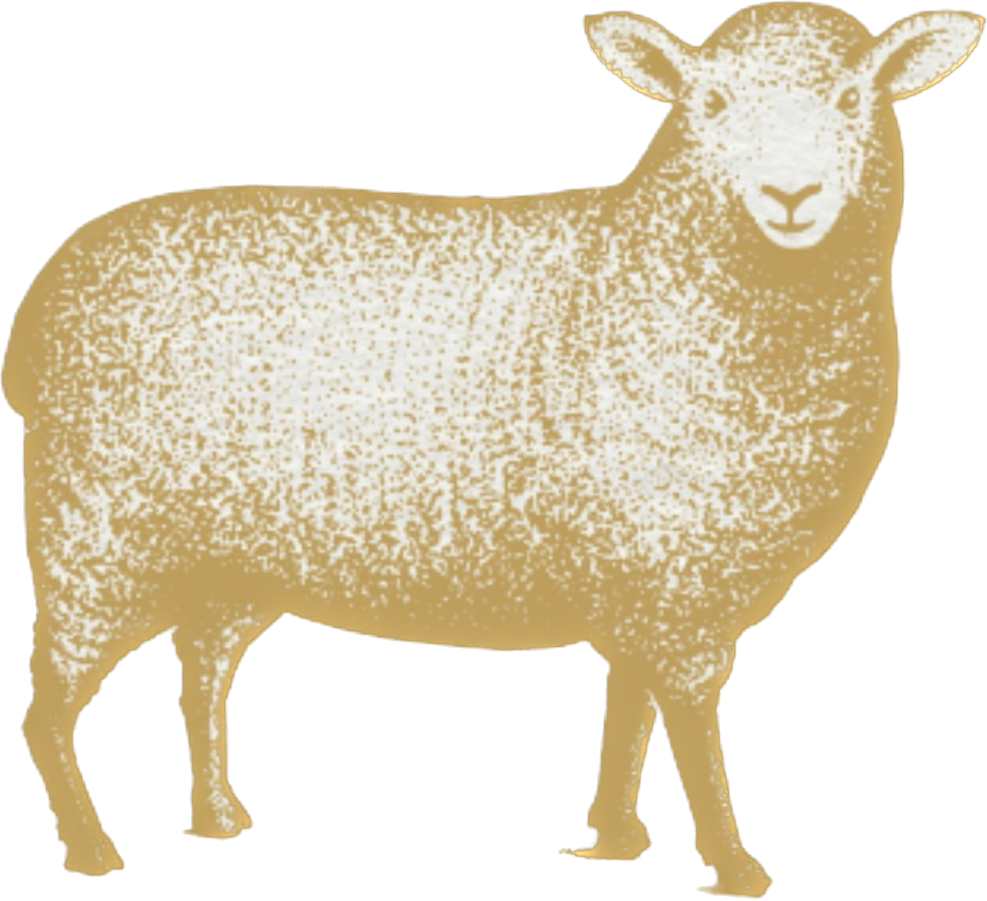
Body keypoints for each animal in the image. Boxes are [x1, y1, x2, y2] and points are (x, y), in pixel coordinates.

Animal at [3, 2, 982, 894]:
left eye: (855, 96)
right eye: (707, 101)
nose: (789, 197)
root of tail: (38, 310)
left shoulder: (641, 580)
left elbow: (627, 704)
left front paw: (612, 836)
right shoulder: (677, 580)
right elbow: (688, 717)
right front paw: (735, 864)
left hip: (226, 565)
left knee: (200, 672)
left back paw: (216, 817)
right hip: (95, 538)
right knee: (47, 706)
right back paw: (92, 851)